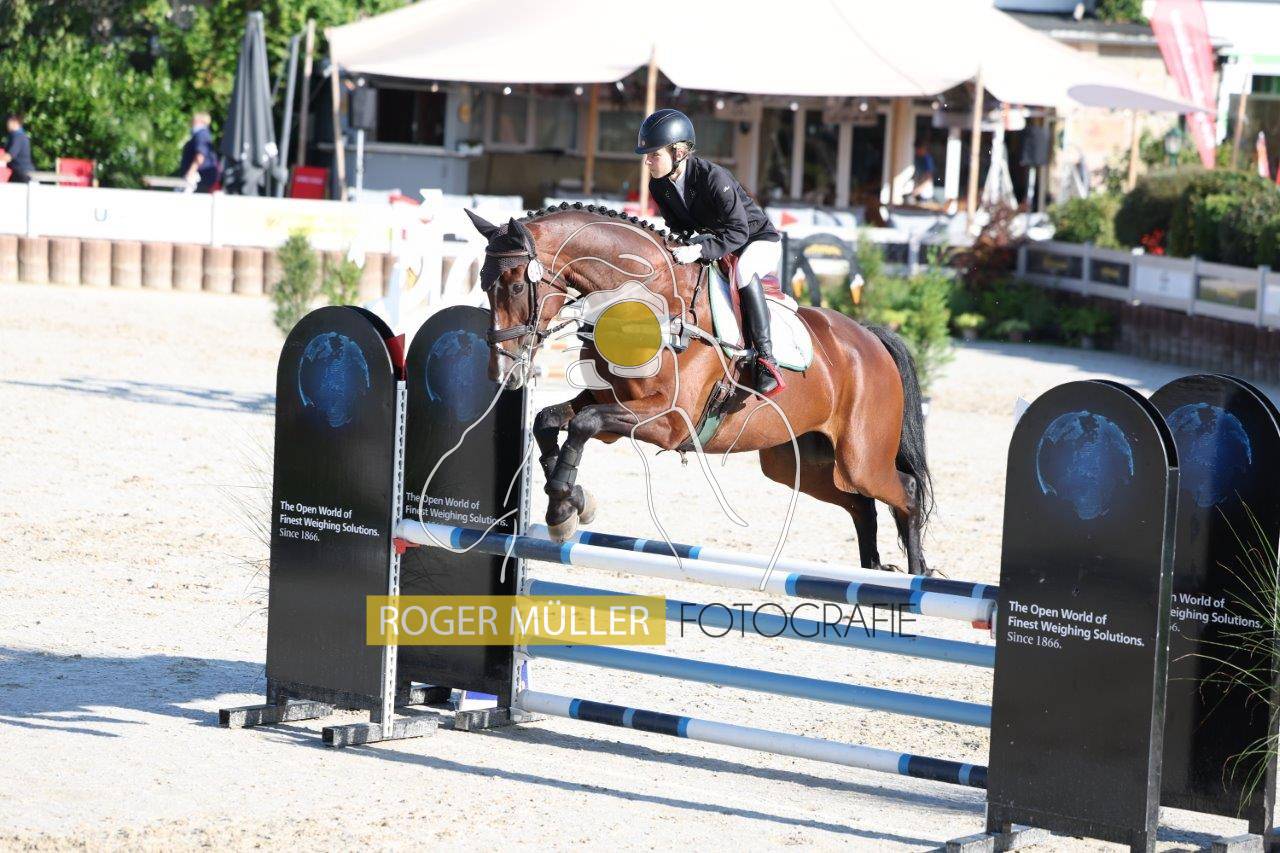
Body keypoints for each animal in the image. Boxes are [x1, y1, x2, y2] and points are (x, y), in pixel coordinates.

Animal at [464, 203, 933, 575]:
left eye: (517, 285)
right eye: (483, 284)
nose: (503, 372)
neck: (646, 301)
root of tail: (871, 338)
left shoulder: (670, 421)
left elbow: (583, 424)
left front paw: (564, 507)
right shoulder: (613, 405)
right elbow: (552, 420)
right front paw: (571, 501)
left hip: (860, 459)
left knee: (904, 492)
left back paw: (914, 578)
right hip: (800, 463)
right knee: (861, 505)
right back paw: (874, 573)